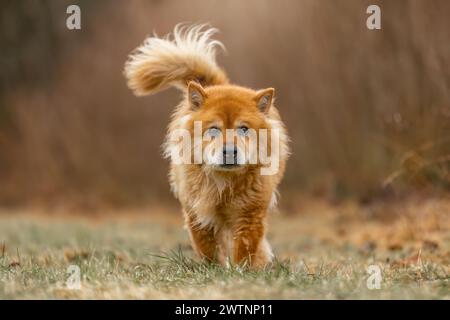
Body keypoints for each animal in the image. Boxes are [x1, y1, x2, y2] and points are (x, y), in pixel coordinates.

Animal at [125, 24, 290, 268]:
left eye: (243, 129)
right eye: (214, 130)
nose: (230, 151)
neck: (224, 183)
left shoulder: (249, 213)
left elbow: (245, 247)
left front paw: (244, 270)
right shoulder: (197, 211)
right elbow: (207, 245)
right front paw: (215, 268)